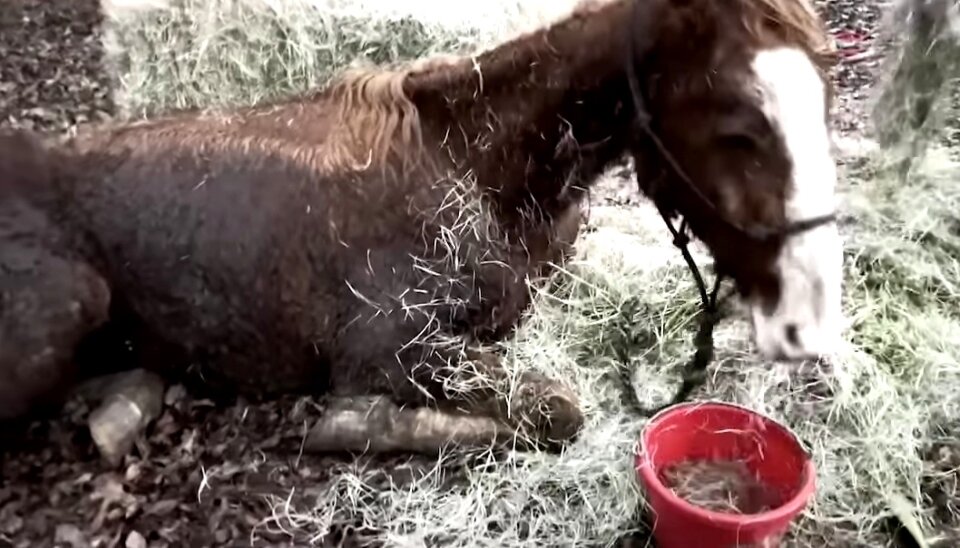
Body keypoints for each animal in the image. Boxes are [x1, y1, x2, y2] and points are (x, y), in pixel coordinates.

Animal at [0, 0, 840, 460]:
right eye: (738, 123)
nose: (810, 304)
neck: (480, 165)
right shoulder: (389, 343)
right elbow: (553, 409)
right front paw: (345, 422)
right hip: (67, 306)